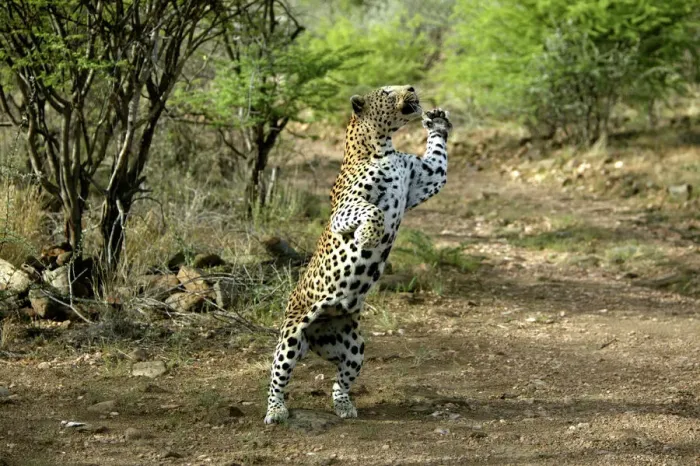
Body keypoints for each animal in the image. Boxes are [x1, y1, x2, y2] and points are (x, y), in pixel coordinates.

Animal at [264, 85, 452, 424]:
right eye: (387, 91)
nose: (412, 88)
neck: (384, 146)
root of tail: (315, 339)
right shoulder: (344, 210)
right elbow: (372, 210)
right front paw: (366, 237)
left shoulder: (427, 178)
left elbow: (438, 158)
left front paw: (437, 120)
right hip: (291, 337)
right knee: (277, 376)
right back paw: (276, 410)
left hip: (354, 346)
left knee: (339, 381)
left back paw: (344, 406)